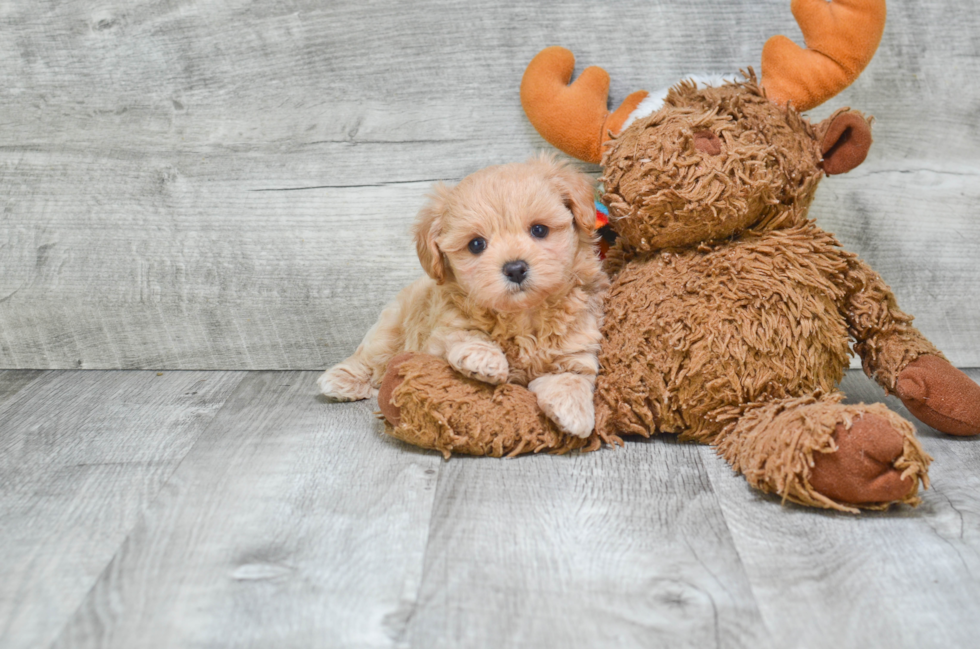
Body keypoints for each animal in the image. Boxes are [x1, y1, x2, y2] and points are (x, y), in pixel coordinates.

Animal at [318, 153, 608, 436]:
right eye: (476, 244)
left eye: (539, 230)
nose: (515, 269)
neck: (524, 315)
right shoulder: (440, 332)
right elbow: (464, 333)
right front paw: (485, 358)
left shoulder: (576, 346)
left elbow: (572, 376)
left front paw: (572, 411)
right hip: (390, 328)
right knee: (370, 356)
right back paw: (341, 380)